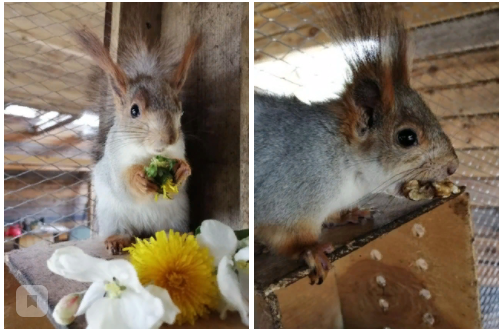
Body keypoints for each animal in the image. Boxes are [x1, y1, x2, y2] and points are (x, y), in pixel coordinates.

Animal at [74, 27, 200, 253]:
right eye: (134, 110)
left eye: (180, 110)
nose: (167, 139)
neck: (148, 154)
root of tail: (144, 230)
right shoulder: (114, 165)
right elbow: (123, 184)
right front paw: (138, 179)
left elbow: (181, 182)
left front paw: (182, 170)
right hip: (112, 216)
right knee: (123, 231)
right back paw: (116, 240)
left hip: (176, 218)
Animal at [254, 3, 458, 282]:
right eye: (407, 137)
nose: (453, 167)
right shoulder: (288, 199)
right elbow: (289, 239)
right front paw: (312, 250)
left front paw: (348, 214)